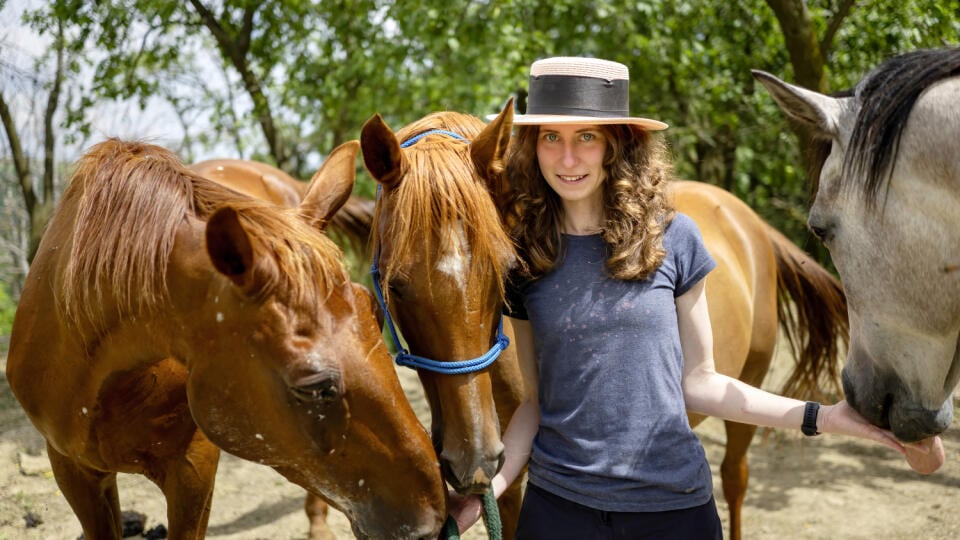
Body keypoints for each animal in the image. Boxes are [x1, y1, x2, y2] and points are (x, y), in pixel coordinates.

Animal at [356, 102, 844, 540]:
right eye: (396, 285)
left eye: (505, 273)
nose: (471, 459)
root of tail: (749, 220)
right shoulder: (504, 482)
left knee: (734, 478)